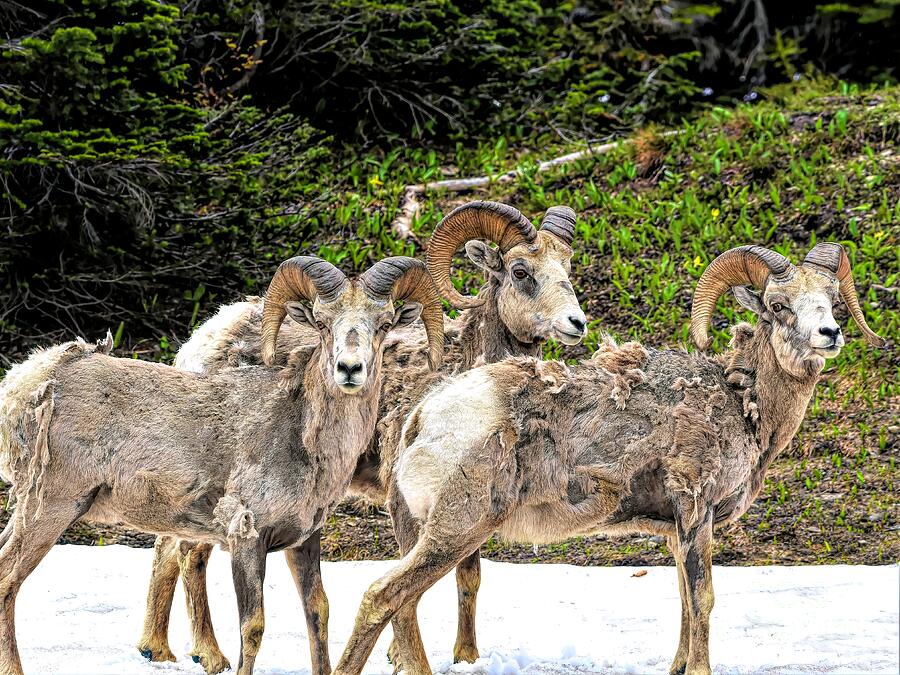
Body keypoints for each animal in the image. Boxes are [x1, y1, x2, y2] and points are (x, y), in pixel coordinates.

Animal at [0, 255, 442, 675]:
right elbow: (253, 626)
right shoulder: (246, 539)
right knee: (7, 581)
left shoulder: (303, 541)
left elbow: (318, 612)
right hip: (52, 508)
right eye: (321, 322)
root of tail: (30, 383)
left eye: (384, 324)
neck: (304, 439)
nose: (349, 369)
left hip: (28, 509)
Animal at [137, 198, 588, 672]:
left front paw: (466, 657)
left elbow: (469, 576)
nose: (577, 323)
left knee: (168, 547)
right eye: (521, 271)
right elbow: (409, 592)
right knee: (189, 554)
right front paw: (405, 659)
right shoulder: (404, 503)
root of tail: (201, 340)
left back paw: (157, 648)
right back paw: (209, 655)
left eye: (566, 266)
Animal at [332, 243, 884, 675]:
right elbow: (703, 598)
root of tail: (422, 419)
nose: (829, 335)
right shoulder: (695, 511)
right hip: (455, 530)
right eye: (778, 304)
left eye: (832, 301)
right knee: (383, 597)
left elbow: (684, 599)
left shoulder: (674, 529)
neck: (742, 403)